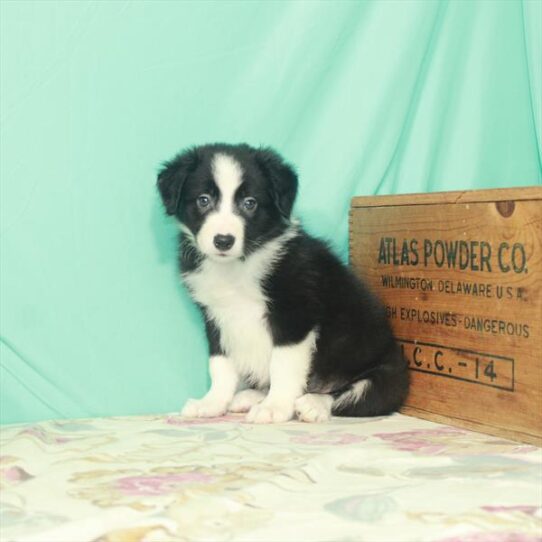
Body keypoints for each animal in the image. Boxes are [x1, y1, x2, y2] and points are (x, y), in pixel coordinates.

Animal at [156, 144, 408, 424]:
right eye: (203, 200)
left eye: (250, 203)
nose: (223, 240)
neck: (239, 265)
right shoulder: (215, 317)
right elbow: (220, 364)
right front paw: (212, 402)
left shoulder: (295, 315)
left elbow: (283, 365)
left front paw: (275, 406)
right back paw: (249, 397)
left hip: (385, 377)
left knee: (350, 396)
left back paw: (312, 403)